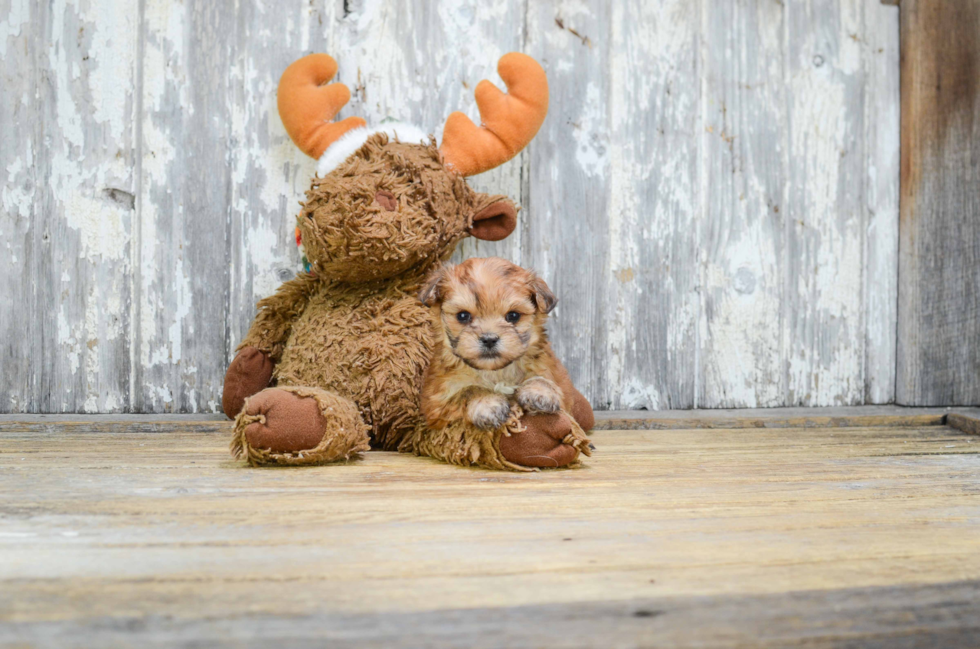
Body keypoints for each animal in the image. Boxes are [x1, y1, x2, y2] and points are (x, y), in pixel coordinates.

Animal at [418, 256, 572, 430]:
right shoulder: (436, 404)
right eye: (463, 316)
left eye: (513, 316)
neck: (496, 372)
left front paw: (540, 391)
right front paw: (487, 403)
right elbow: (468, 390)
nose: (489, 339)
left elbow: (544, 379)